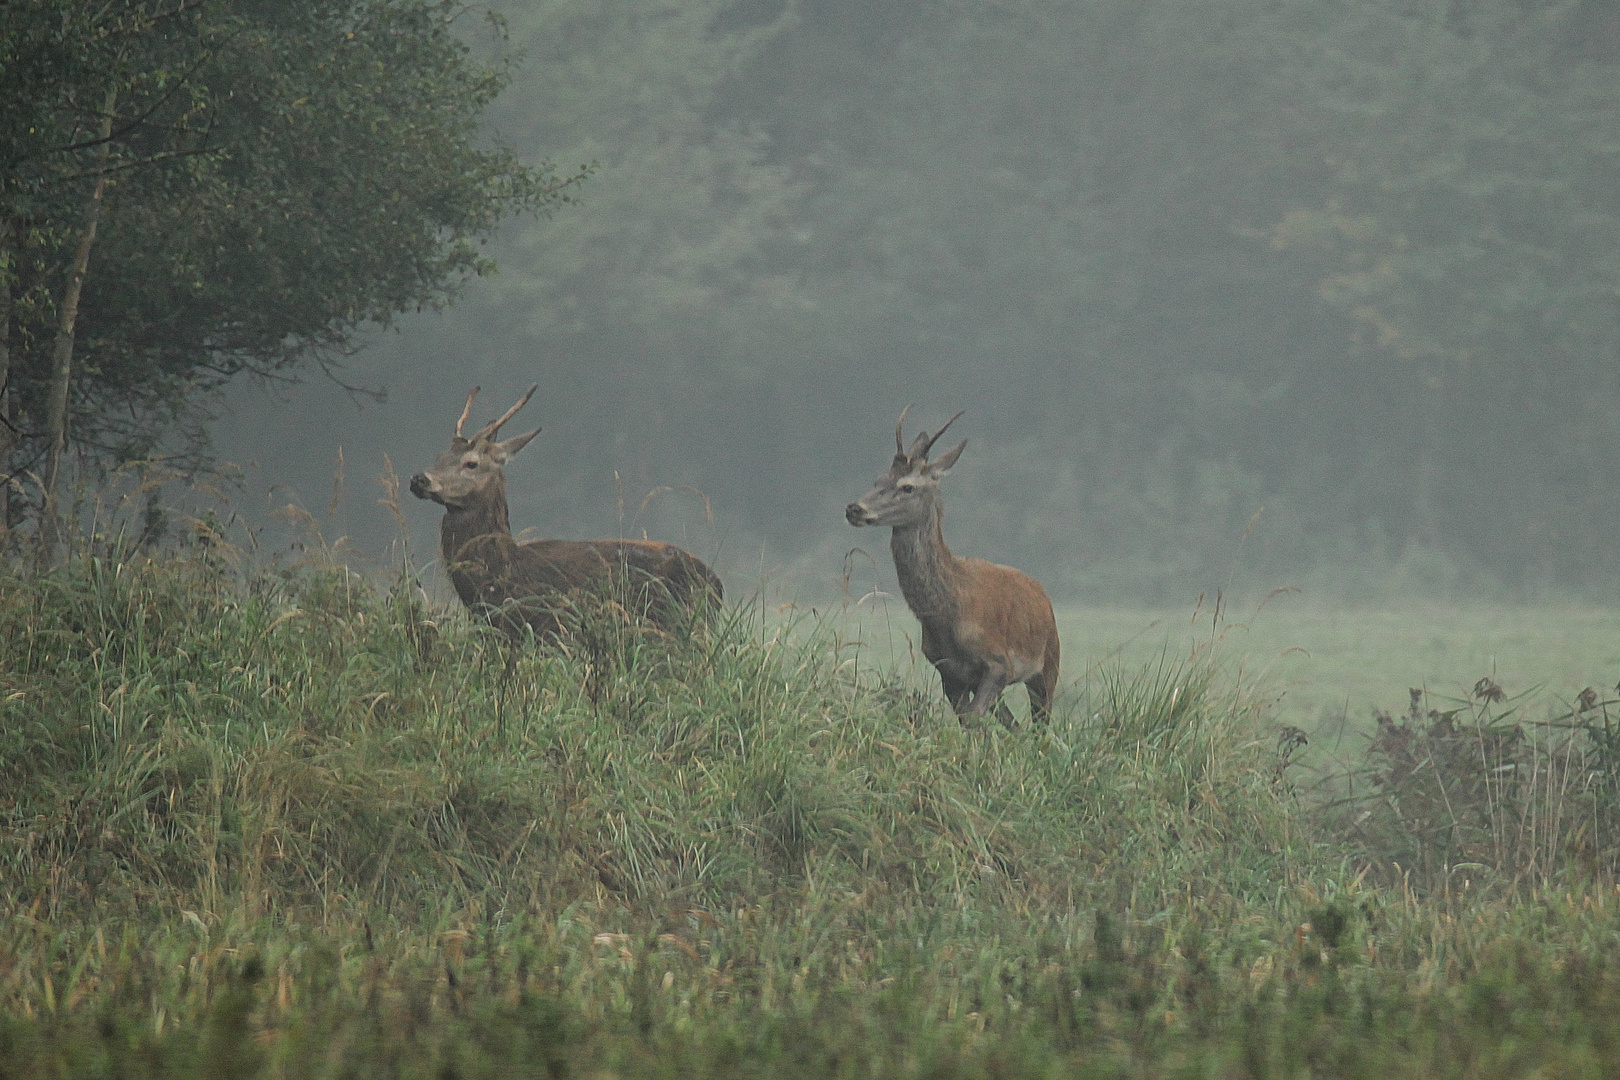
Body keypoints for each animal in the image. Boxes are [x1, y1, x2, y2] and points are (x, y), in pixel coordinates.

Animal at [411, 386, 722, 641]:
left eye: (471, 463)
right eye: (439, 457)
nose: (419, 479)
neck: (500, 575)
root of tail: (717, 584)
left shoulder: (550, 627)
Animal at [848, 408, 1062, 725]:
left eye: (908, 486)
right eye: (877, 480)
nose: (854, 509)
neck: (947, 617)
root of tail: (1041, 592)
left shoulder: (1000, 661)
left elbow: (973, 718)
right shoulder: (947, 670)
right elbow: (967, 720)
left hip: (1049, 661)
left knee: (1040, 722)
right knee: (1014, 724)